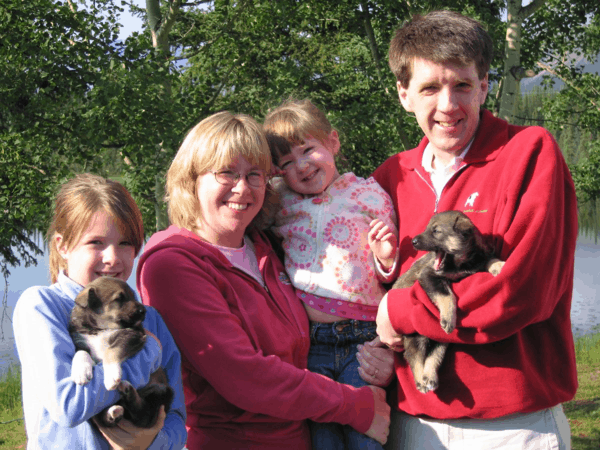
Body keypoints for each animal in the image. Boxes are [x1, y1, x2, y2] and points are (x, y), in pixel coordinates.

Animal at [70, 278, 175, 428]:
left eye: (133, 296)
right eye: (119, 298)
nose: (144, 311)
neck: (100, 327)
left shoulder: (131, 336)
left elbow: (111, 351)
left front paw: (111, 377)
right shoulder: (80, 341)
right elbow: (80, 354)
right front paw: (80, 372)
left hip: (162, 390)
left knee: (143, 415)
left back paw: (127, 391)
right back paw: (113, 411)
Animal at [392, 212, 504, 394]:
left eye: (436, 231)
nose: (413, 241)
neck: (461, 262)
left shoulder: (478, 261)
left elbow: (489, 260)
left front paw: (499, 265)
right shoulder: (429, 275)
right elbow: (447, 295)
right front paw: (449, 317)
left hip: (440, 337)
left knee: (435, 354)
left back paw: (430, 376)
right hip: (416, 335)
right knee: (413, 355)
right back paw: (420, 380)